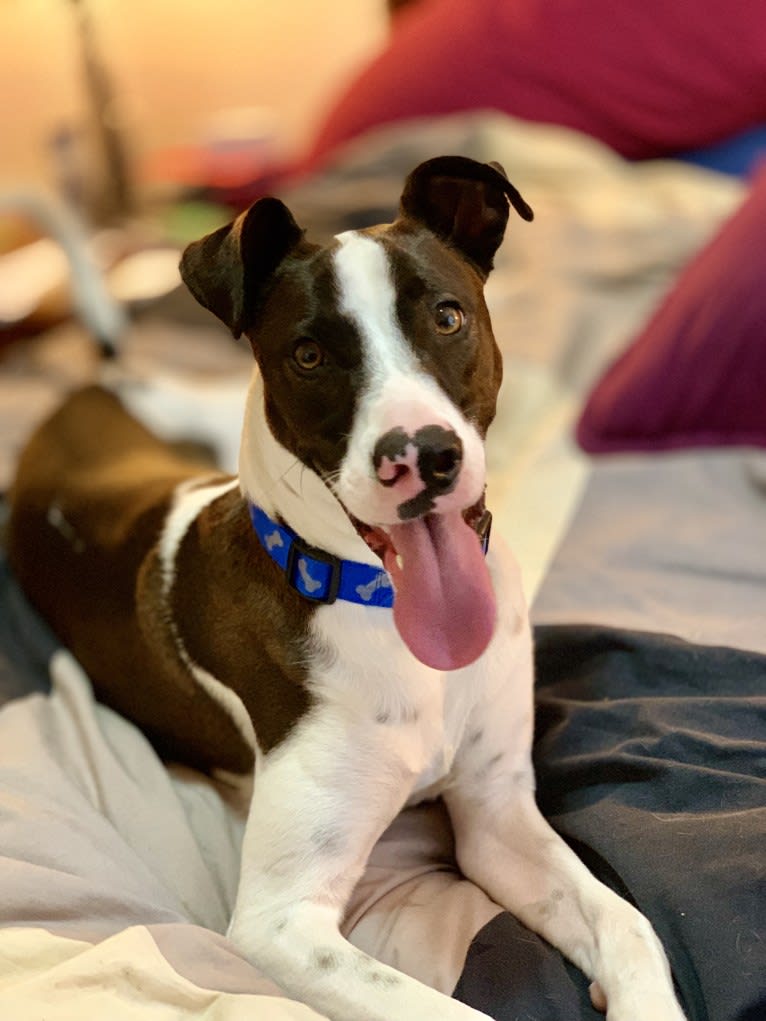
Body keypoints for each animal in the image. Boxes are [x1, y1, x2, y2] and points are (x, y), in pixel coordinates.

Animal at [9, 157, 686, 1021]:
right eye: (308, 355)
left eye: (447, 315)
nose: (421, 454)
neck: (384, 610)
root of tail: (100, 386)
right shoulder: (281, 923)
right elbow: (446, 1011)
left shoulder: (497, 810)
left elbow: (626, 920)